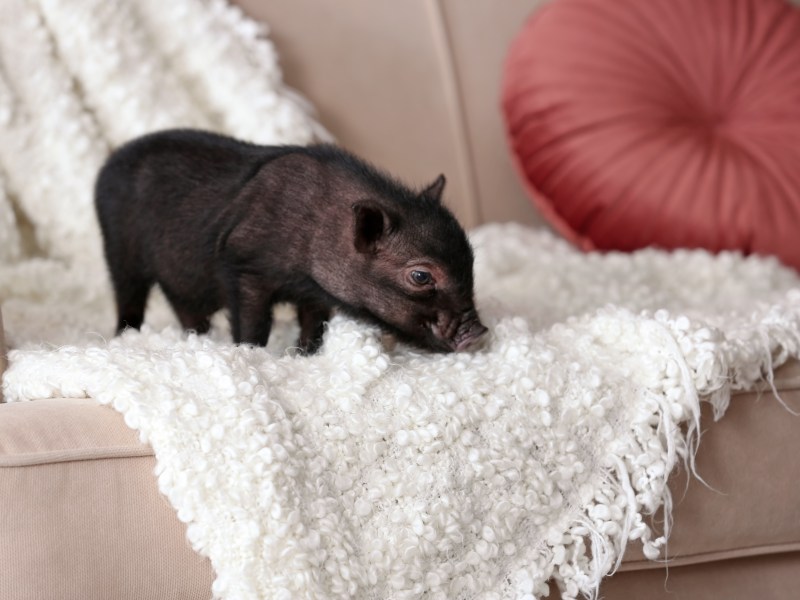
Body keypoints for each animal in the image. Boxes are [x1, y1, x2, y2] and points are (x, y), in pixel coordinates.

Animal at [97, 126, 490, 352]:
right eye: (421, 276)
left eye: (471, 262)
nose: (480, 332)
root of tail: (108, 163)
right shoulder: (242, 266)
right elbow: (255, 324)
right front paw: (250, 353)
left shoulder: (314, 293)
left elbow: (314, 324)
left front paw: (305, 354)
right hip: (119, 250)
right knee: (128, 297)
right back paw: (124, 337)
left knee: (184, 305)